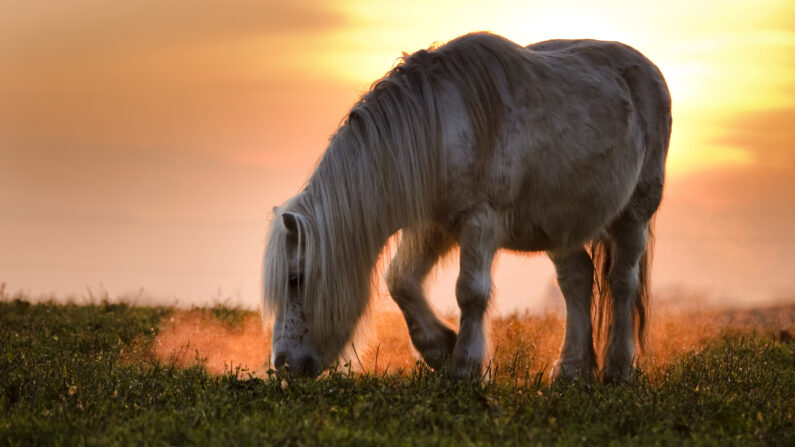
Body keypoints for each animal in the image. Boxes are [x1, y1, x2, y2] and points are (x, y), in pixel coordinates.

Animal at [266, 31, 672, 384]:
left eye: (295, 279)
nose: (283, 364)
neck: (436, 128)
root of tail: (649, 70)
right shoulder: (432, 226)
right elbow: (401, 281)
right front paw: (440, 349)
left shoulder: (478, 221)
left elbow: (471, 292)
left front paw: (466, 367)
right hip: (561, 226)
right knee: (577, 281)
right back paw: (572, 371)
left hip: (634, 216)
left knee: (622, 283)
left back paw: (618, 369)